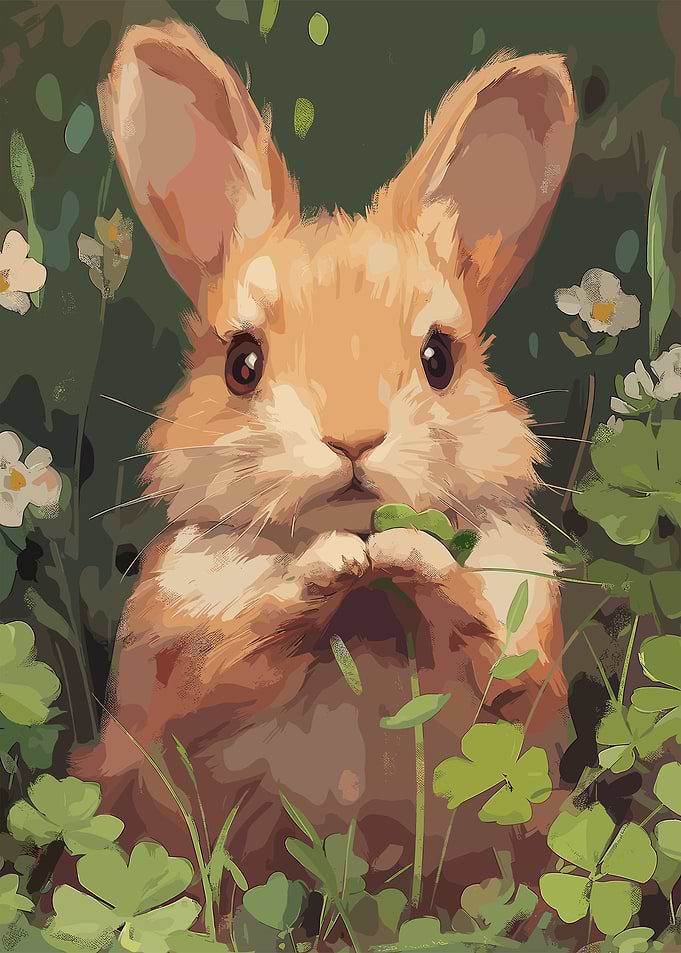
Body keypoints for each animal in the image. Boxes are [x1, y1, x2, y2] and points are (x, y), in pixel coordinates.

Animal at [73, 20, 577, 910]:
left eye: (440, 358)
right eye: (241, 362)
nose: (352, 439)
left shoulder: (520, 650)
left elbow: (486, 650)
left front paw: (407, 552)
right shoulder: (179, 664)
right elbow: (235, 655)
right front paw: (328, 565)